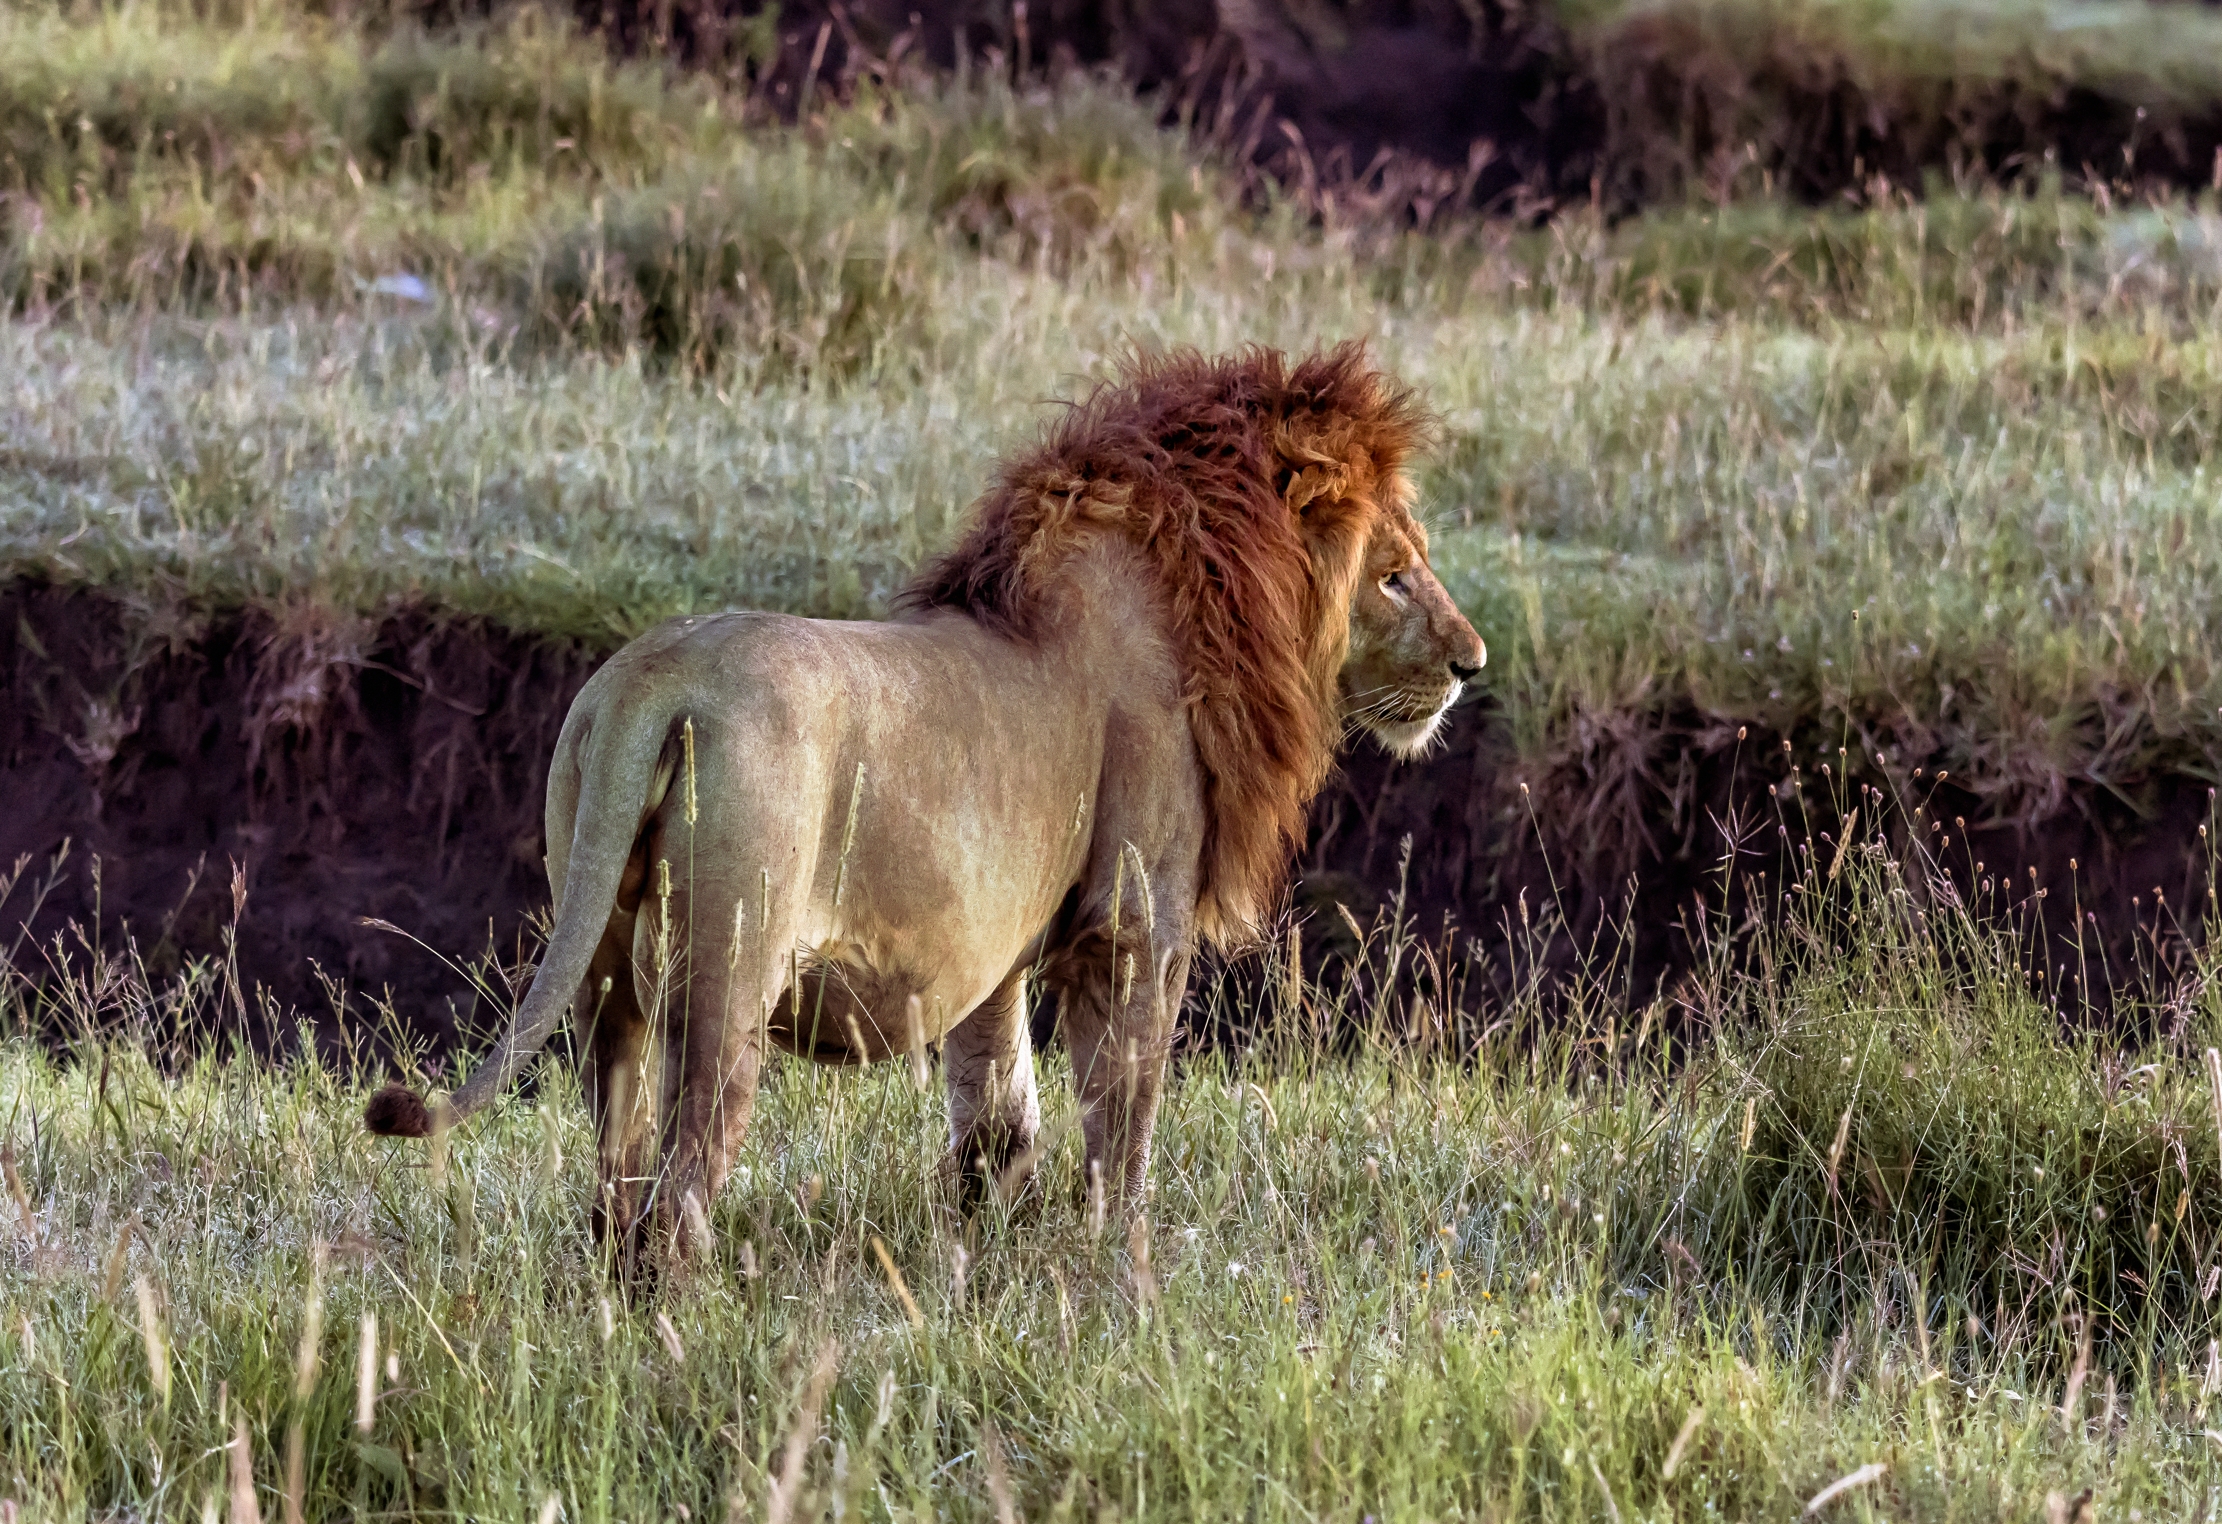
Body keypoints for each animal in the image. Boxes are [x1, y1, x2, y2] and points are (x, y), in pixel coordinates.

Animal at [364, 342, 1484, 1261]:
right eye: (1395, 575)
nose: (1471, 662)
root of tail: (653, 680)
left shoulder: (996, 943)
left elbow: (995, 1115)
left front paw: (983, 1260)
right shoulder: (1134, 924)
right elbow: (1122, 1121)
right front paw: (1118, 1263)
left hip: (608, 978)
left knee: (613, 1188)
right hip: (729, 974)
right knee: (678, 1199)